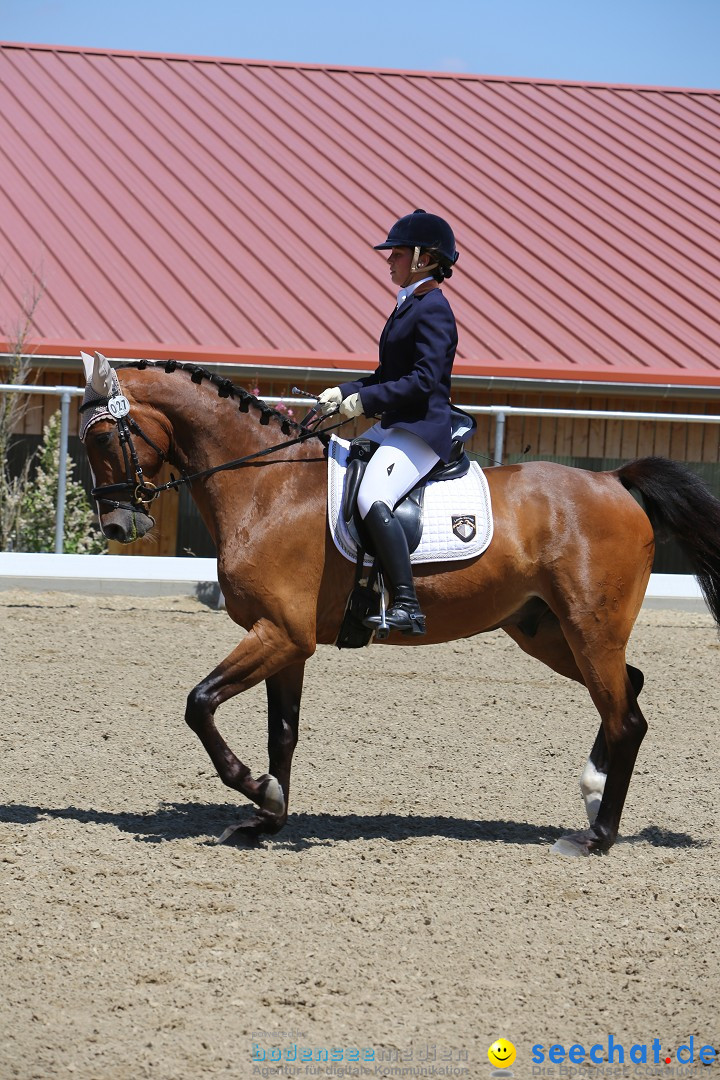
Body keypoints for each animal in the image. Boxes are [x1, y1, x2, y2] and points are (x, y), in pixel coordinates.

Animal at [78, 354, 720, 859]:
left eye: (104, 438)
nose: (117, 525)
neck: (267, 486)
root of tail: (614, 481)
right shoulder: (285, 640)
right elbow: (282, 733)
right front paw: (267, 817)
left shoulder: (282, 634)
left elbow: (199, 703)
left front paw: (257, 790)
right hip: (546, 632)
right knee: (628, 691)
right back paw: (591, 794)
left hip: (590, 628)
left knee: (625, 717)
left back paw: (597, 836)